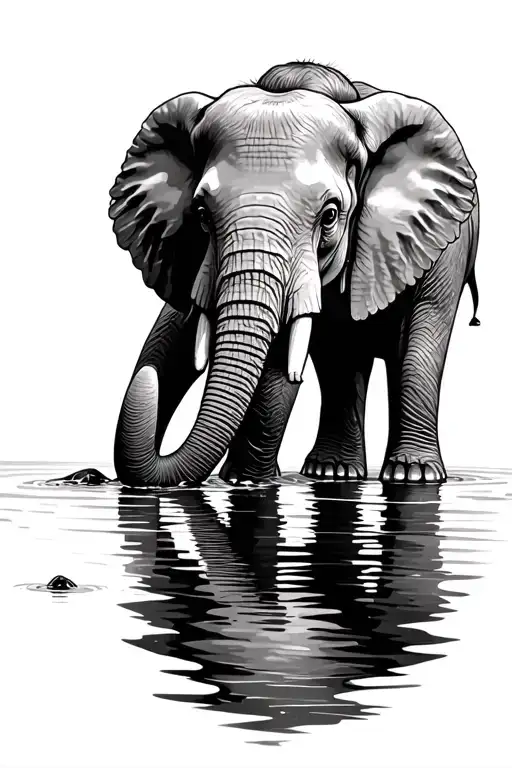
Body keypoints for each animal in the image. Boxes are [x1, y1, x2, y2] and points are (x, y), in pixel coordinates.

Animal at [109, 61, 480, 488]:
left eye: (330, 215)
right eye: (201, 215)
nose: (146, 377)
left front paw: (245, 480)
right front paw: (244, 480)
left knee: (417, 341)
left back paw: (411, 476)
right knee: (342, 356)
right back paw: (333, 472)